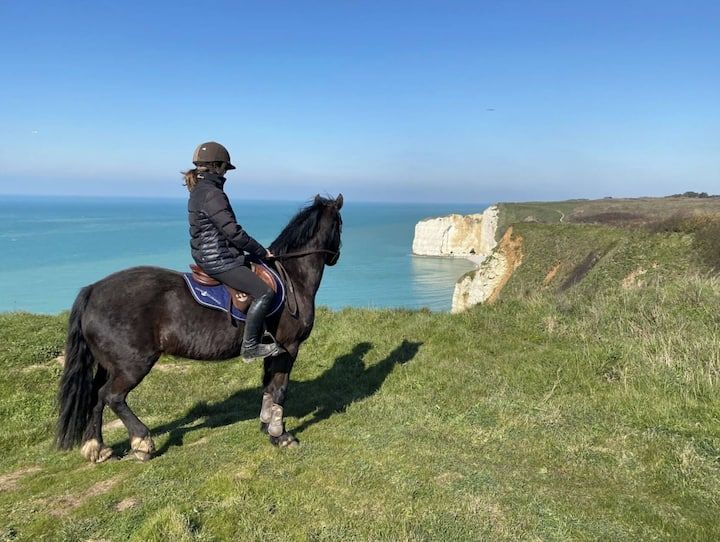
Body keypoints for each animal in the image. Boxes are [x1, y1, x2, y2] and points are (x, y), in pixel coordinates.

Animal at [56, 194, 343, 462]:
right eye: (340, 224)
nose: (337, 256)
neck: (292, 277)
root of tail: (93, 290)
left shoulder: (274, 350)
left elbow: (269, 389)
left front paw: (266, 426)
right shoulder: (289, 347)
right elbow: (280, 390)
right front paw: (280, 435)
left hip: (108, 364)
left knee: (95, 397)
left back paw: (96, 448)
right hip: (132, 364)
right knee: (112, 396)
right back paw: (142, 442)